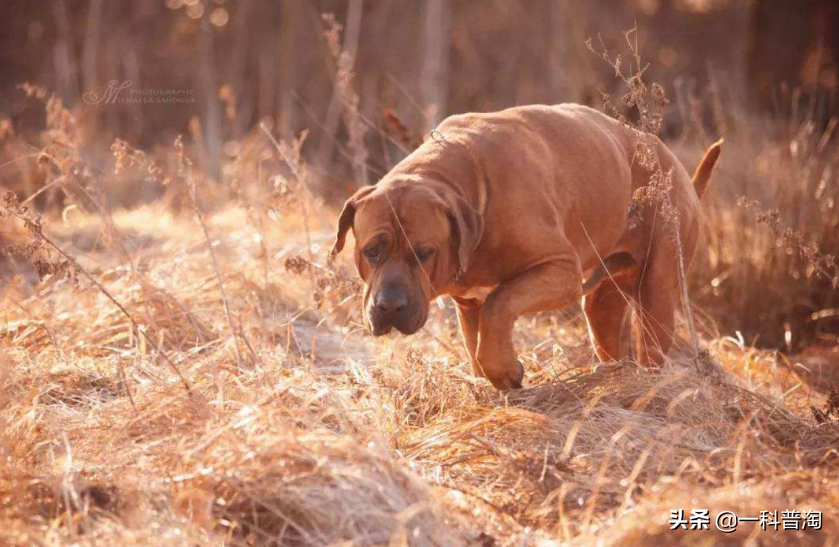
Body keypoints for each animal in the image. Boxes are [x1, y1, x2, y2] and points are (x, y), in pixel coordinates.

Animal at [330, 105, 720, 390]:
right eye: (371, 251)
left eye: (424, 253)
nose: (390, 307)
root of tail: (675, 167)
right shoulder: (468, 304)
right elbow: (478, 343)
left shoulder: (560, 269)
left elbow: (499, 304)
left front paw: (506, 370)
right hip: (603, 305)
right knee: (611, 339)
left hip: (657, 292)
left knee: (652, 347)